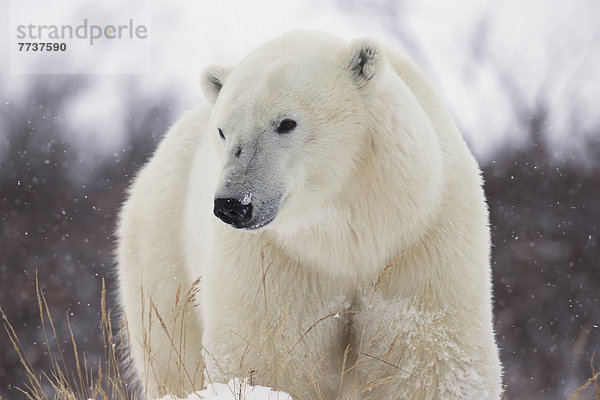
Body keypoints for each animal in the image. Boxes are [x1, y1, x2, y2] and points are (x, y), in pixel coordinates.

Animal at [116, 29, 502, 398]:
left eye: (287, 122)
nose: (232, 204)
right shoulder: (278, 261)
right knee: (172, 354)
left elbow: (429, 356)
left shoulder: (421, 241)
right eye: (222, 130)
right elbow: (267, 350)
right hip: (161, 253)